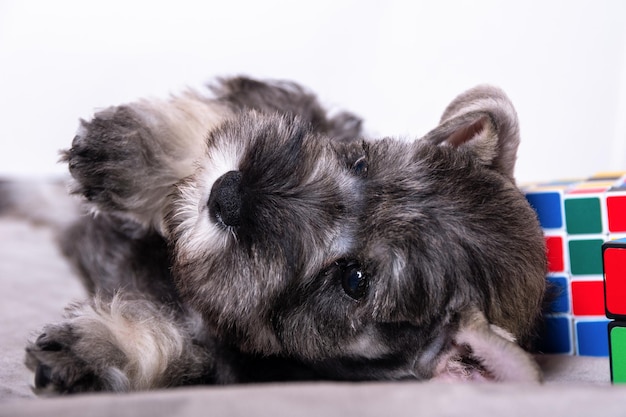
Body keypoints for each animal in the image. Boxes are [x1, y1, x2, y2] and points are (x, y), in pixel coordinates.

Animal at [18, 76, 544, 392]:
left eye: (354, 280)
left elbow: (189, 353)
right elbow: (232, 116)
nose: (226, 194)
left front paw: (93, 356)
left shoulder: (233, 368)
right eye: (360, 163)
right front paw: (131, 151)